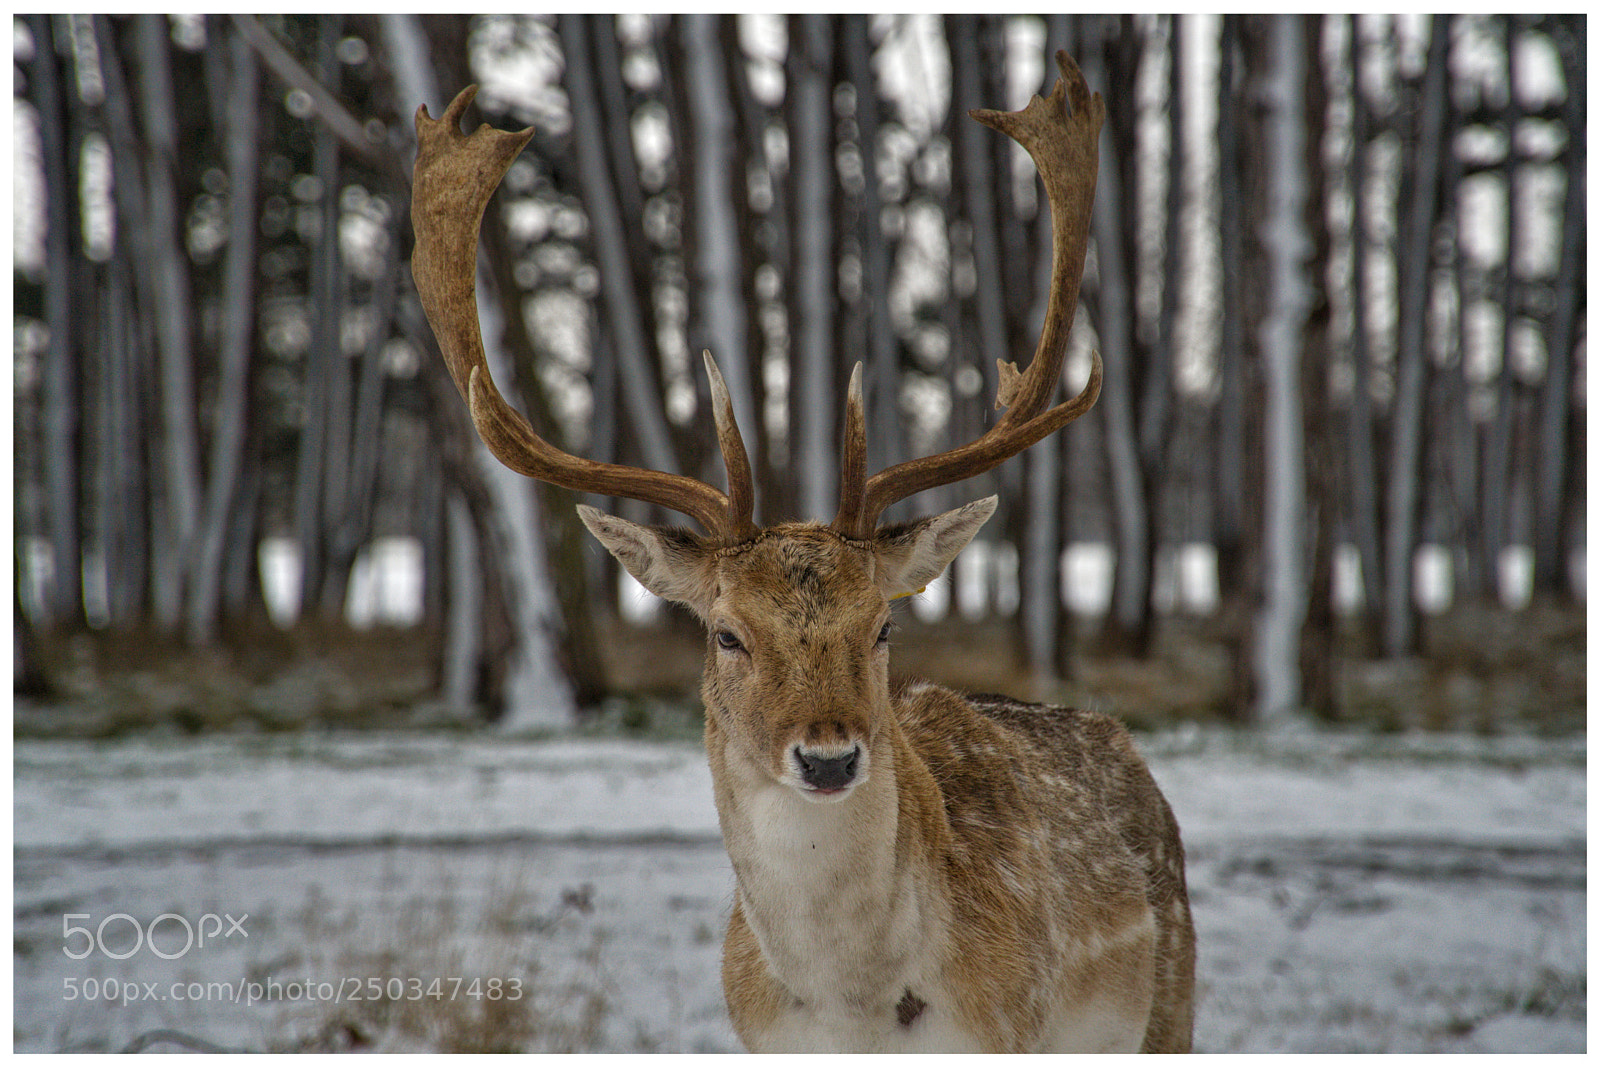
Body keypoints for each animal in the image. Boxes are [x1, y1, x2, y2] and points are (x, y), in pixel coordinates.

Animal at [411, 51, 1193, 1054]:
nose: (828, 759)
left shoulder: (1010, 1030)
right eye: (726, 634)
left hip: (1171, 999)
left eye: (883, 625)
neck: (856, 1008)